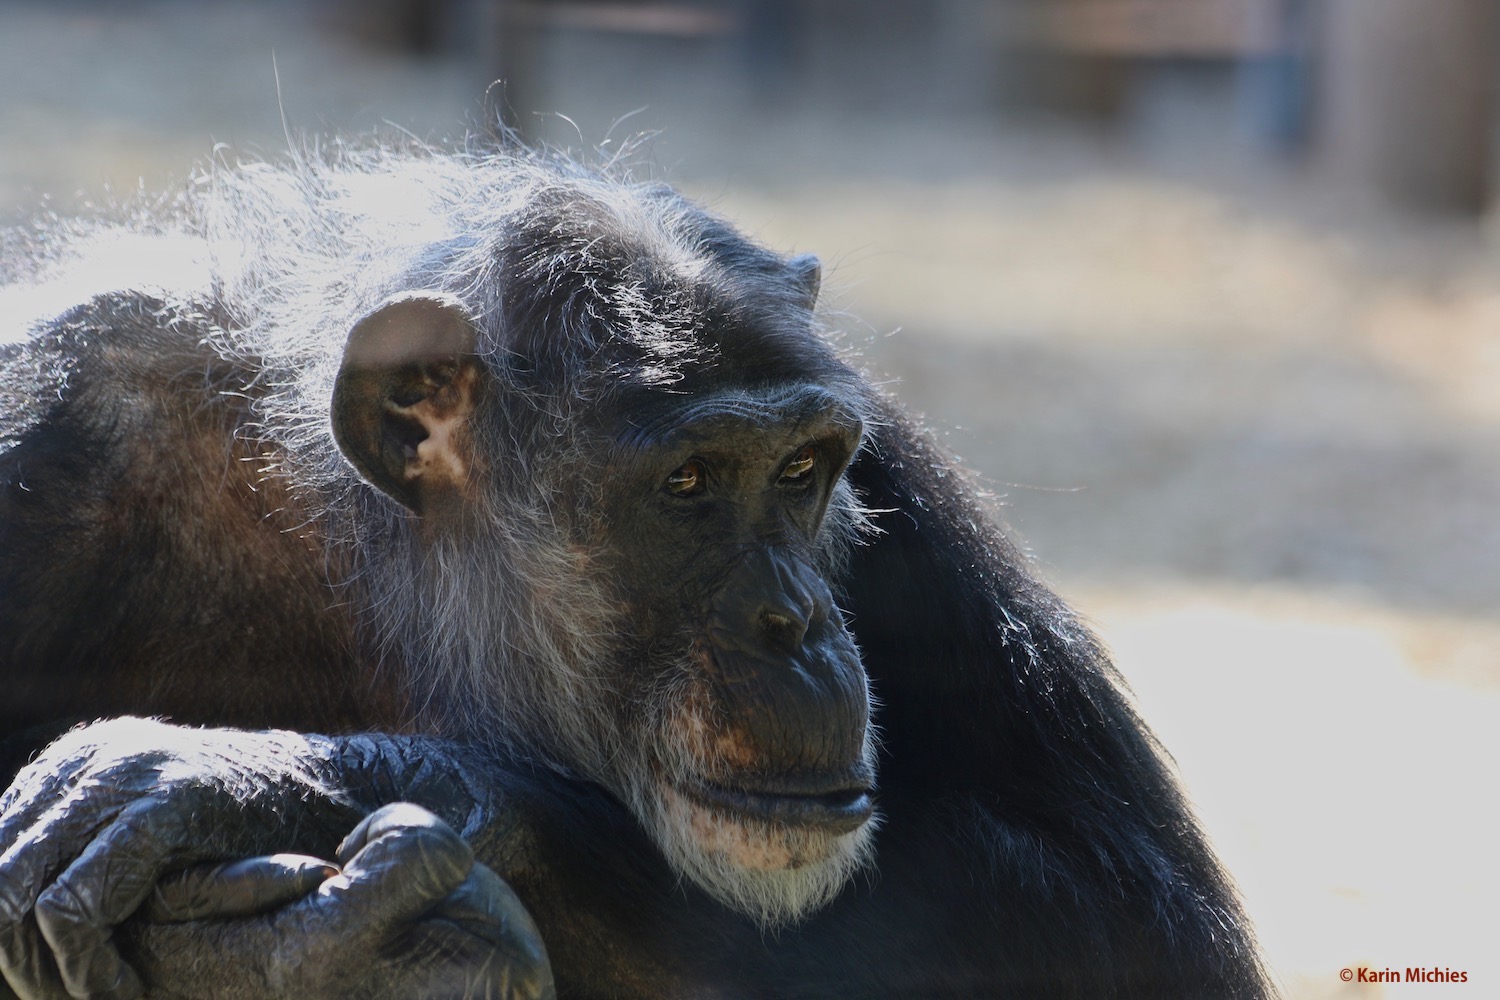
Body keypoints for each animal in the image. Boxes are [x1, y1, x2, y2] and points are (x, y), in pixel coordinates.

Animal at [0, 139, 1274, 998]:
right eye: (690, 484)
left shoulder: (902, 480)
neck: (344, 537)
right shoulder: (36, 429)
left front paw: (280, 797)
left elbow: (1145, 916)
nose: (797, 623)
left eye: (801, 468)